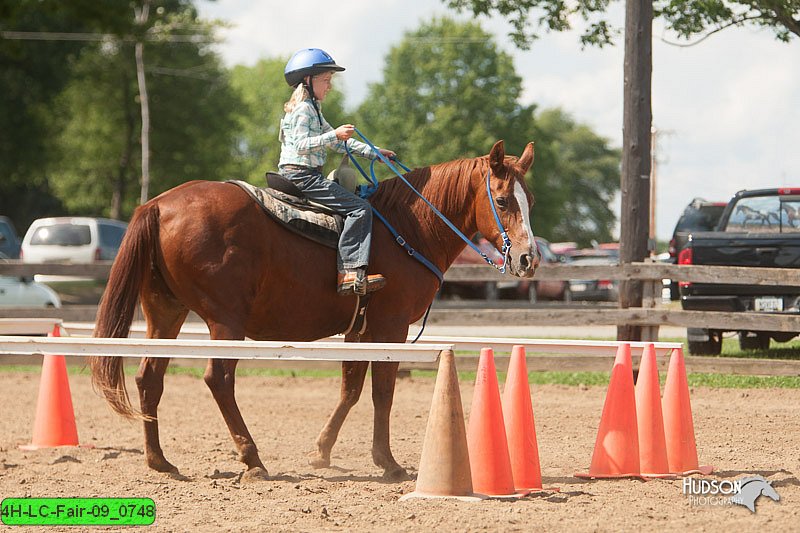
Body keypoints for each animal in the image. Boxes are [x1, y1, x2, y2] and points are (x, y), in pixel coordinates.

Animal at [90, 139, 540, 480]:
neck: (406, 227)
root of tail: (158, 205)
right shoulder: (389, 326)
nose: (528, 258)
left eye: (530, 199)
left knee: (149, 378)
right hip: (225, 319)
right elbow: (382, 391)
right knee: (218, 379)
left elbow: (351, 389)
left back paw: (160, 461)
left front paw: (322, 451)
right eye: (502, 200)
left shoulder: (359, 330)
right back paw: (252, 459)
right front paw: (388, 462)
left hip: (165, 312)